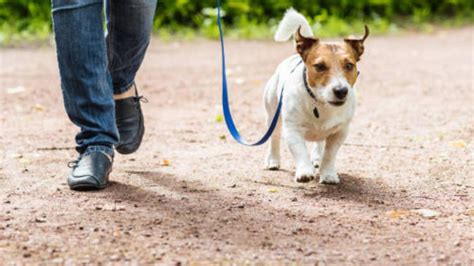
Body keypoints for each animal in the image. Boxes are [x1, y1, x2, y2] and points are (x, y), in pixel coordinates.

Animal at [264, 8, 368, 183]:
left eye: (349, 65)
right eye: (319, 66)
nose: (341, 91)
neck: (320, 103)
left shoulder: (340, 132)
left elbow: (330, 154)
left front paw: (328, 174)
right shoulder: (292, 129)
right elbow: (300, 151)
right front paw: (305, 171)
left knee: (319, 143)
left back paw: (317, 158)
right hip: (273, 114)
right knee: (274, 138)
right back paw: (273, 161)